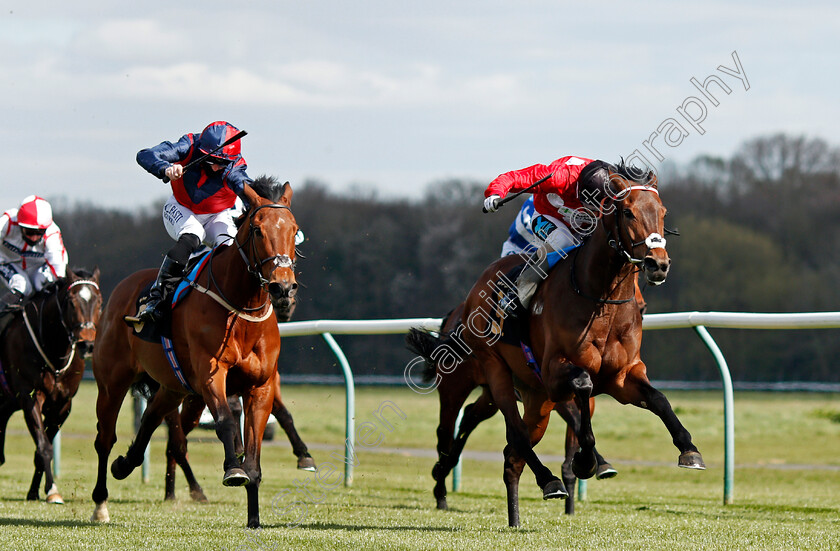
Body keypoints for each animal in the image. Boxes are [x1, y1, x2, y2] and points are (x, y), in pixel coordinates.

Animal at [0, 268, 102, 504]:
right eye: (72, 302)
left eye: (99, 301)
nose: (87, 344)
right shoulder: (29, 397)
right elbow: (44, 445)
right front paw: (52, 490)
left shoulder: (62, 405)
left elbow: (42, 449)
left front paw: (36, 492)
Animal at [91, 182, 298, 532]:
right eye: (258, 230)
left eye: (294, 230)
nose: (282, 287)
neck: (241, 308)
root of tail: (122, 288)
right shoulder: (210, 374)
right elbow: (226, 421)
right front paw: (232, 470)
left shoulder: (261, 387)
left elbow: (254, 453)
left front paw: (254, 519)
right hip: (112, 383)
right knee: (105, 439)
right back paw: (100, 504)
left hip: (173, 387)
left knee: (151, 420)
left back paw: (125, 464)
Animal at [406, 167, 704, 528]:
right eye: (628, 212)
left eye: (662, 213)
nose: (657, 264)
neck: (599, 300)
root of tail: (469, 299)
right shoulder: (554, 375)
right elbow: (583, 391)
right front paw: (587, 461)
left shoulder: (621, 377)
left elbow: (658, 400)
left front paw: (689, 449)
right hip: (480, 377)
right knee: (479, 432)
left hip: (531, 398)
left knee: (508, 448)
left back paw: (517, 513)